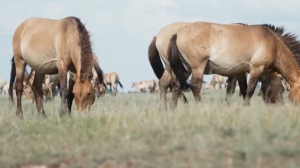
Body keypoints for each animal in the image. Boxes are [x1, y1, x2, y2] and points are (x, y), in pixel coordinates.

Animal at [168, 22, 300, 106]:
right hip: (197, 67)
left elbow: (264, 90)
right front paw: (246, 107)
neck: (273, 43)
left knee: (177, 85)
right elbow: (249, 90)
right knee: (195, 87)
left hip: (186, 68)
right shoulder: (256, 68)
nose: (280, 105)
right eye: (283, 89)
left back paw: (172, 109)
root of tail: (177, 34)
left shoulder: (260, 72)